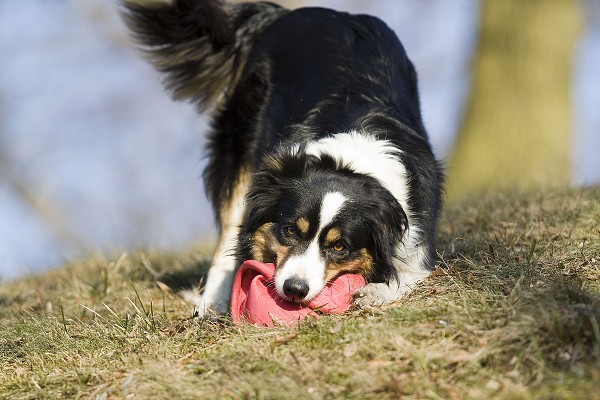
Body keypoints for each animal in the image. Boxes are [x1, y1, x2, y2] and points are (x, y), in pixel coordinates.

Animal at [123, 0, 440, 316]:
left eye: (339, 246)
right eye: (289, 230)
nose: (294, 289)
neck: (347, 163)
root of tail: (281, 13)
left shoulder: (418, 238)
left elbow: (412, 274)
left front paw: (376, 292)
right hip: (241, 140)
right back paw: (212, 303)